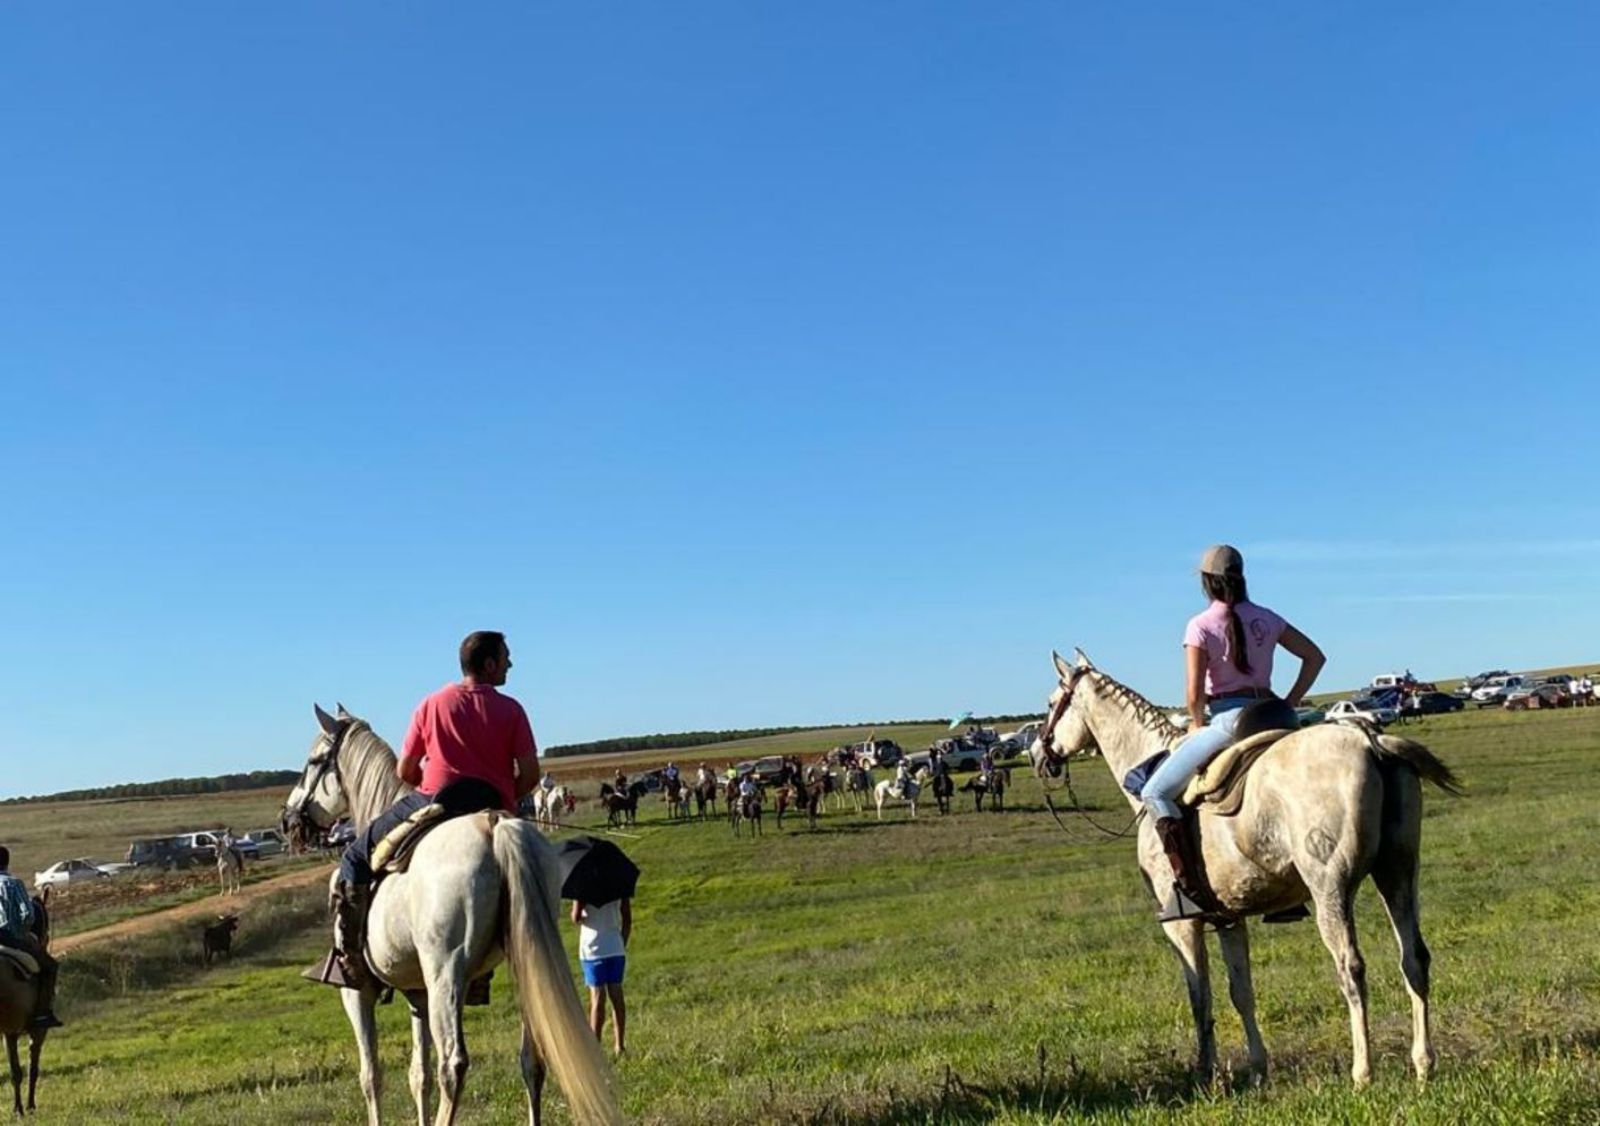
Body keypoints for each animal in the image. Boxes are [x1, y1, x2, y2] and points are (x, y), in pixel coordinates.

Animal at [284, 703, 614, 1126]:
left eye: (313, 761)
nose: (290, 818)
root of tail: (494, 825)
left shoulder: (356, 993)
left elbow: (371, 1076)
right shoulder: (418, 992)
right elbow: (417, 1075)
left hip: (446, 973)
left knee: (452, 1064)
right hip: (526, 961)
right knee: (531, 1059)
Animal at [1043, 652, 1459, 1087]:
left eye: (1053, 701)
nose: (1042, 752)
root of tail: (1369, 740)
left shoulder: (1181, 925)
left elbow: (1200, 996)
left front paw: (1205, 1072)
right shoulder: (1229, 917)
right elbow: (1241, 992)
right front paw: (1259, 1069)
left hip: (1330, 888)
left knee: (1351, 968)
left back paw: (1362, 1073)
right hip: (1397, 874)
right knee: (1414, 958)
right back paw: (1423, 1065)